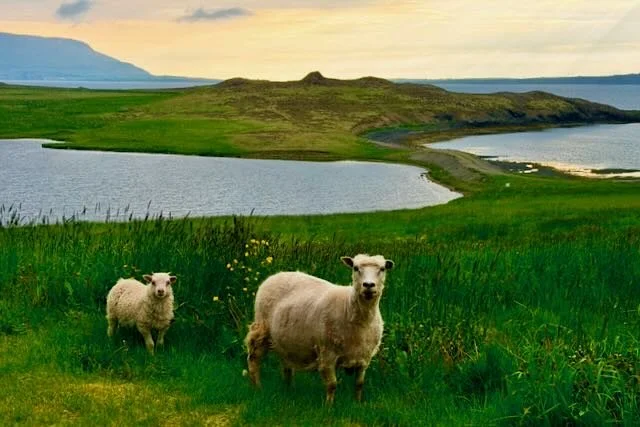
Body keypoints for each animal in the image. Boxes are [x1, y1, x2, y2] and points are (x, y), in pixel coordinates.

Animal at [244, 254, 394, 404]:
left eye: (382, 268)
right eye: (355, 268)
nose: (368, 285)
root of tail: (276, 275)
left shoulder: (364, 357)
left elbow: (359, 384)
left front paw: (357, 403)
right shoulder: (327, 354)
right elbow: (332, 385)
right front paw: (328, 406)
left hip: (284, 340)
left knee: (286, 366)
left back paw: (288, 390)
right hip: (261, 330)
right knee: (253, 359)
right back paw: (257, 388)